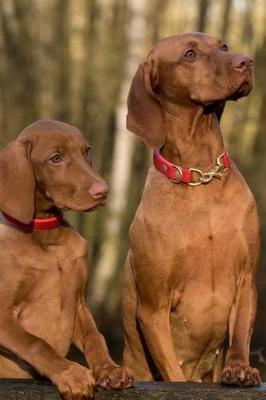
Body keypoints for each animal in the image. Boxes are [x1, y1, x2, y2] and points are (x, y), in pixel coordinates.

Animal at [0, 119, 133, 400]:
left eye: (87, 151)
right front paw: (70, 373)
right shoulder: (2, 314)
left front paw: (110, 369)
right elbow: (36, 343)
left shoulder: (79, 302)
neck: (47, 238)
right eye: (56, 158)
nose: (103, 191)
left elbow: (95, 337)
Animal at [123, 32, 262, 386]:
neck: (201, 178)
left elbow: (241, 333)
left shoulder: (245, 280)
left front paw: (240, 368)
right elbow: (172, 371)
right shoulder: (153, 307)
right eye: (189, 54)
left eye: (223, 46)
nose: (246, 61)